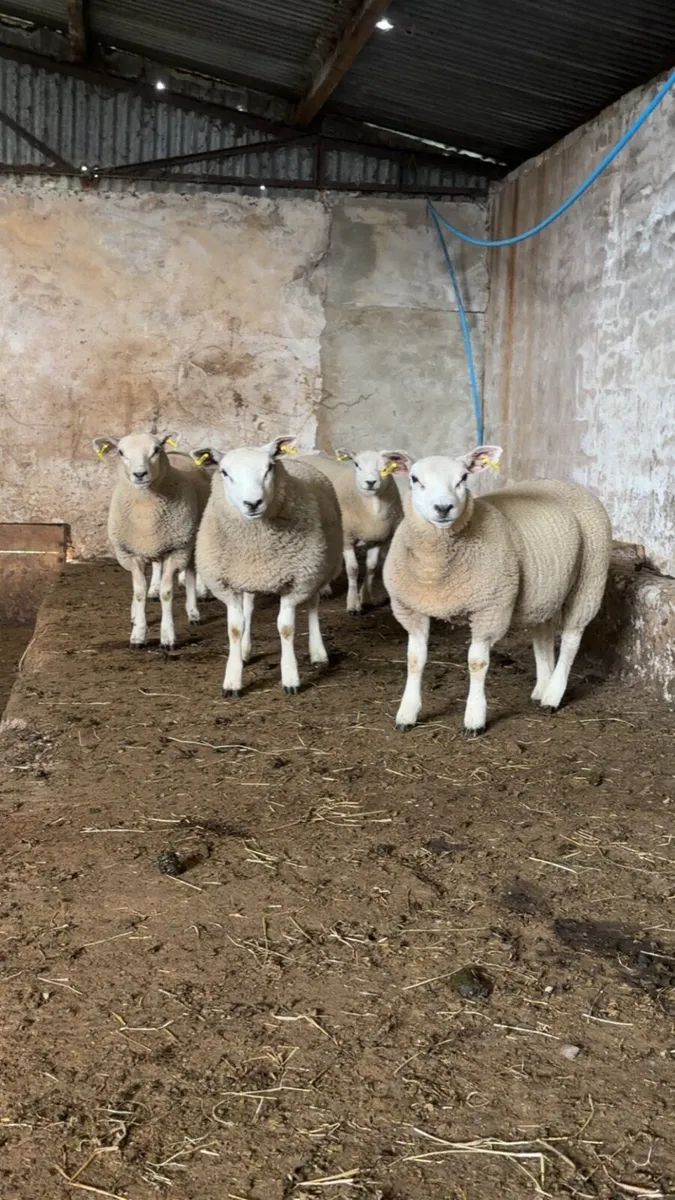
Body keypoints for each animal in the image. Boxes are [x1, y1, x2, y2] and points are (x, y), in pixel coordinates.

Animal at [92, 431, 211, 649]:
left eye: (155, 450)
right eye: (121, 452)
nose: (139, 474)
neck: (146, 511)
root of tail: (176, 453)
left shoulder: (176, 549)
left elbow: (167, 593)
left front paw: (167, 636)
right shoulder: (131, 554)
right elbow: (140, 592)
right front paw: (138, 633)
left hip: (190, 540)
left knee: (191, 573)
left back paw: (193, 612)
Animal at [194, 436, 343, 696]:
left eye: (269, 468)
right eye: (224, 472)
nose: (253, 503)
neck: (256, 544)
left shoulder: (296, 582)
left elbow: (285, 628)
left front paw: (291, 678)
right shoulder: (228, 585)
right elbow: (235, 628)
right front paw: (232, 679)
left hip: (318, 568)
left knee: (313, 606)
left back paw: (318, 652)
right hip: (250, 578)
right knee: (250, 607)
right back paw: (245, 650)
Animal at [298, 448, 410, 614]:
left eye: (385, 467)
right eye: (356, 464)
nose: (370, 482)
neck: (373, 507)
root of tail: (305, 456)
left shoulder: (376, 539)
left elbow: (371, 568)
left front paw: (366, 599)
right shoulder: (347, 539)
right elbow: (353, 570)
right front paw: (352, 604)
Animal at [383, 445, 612, 734]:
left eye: (463, 478)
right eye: (414, 479)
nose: (443, 507)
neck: (436, 570)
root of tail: (565, 483)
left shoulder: (489, 608)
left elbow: (477, 663)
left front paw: (474, 718)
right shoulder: (410, 608)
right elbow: (414, 659)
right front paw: (407, 713)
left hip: (590, 579)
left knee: (571, 639)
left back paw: (553, 695)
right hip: (545, 591)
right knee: (543, 634)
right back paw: (542, 687)